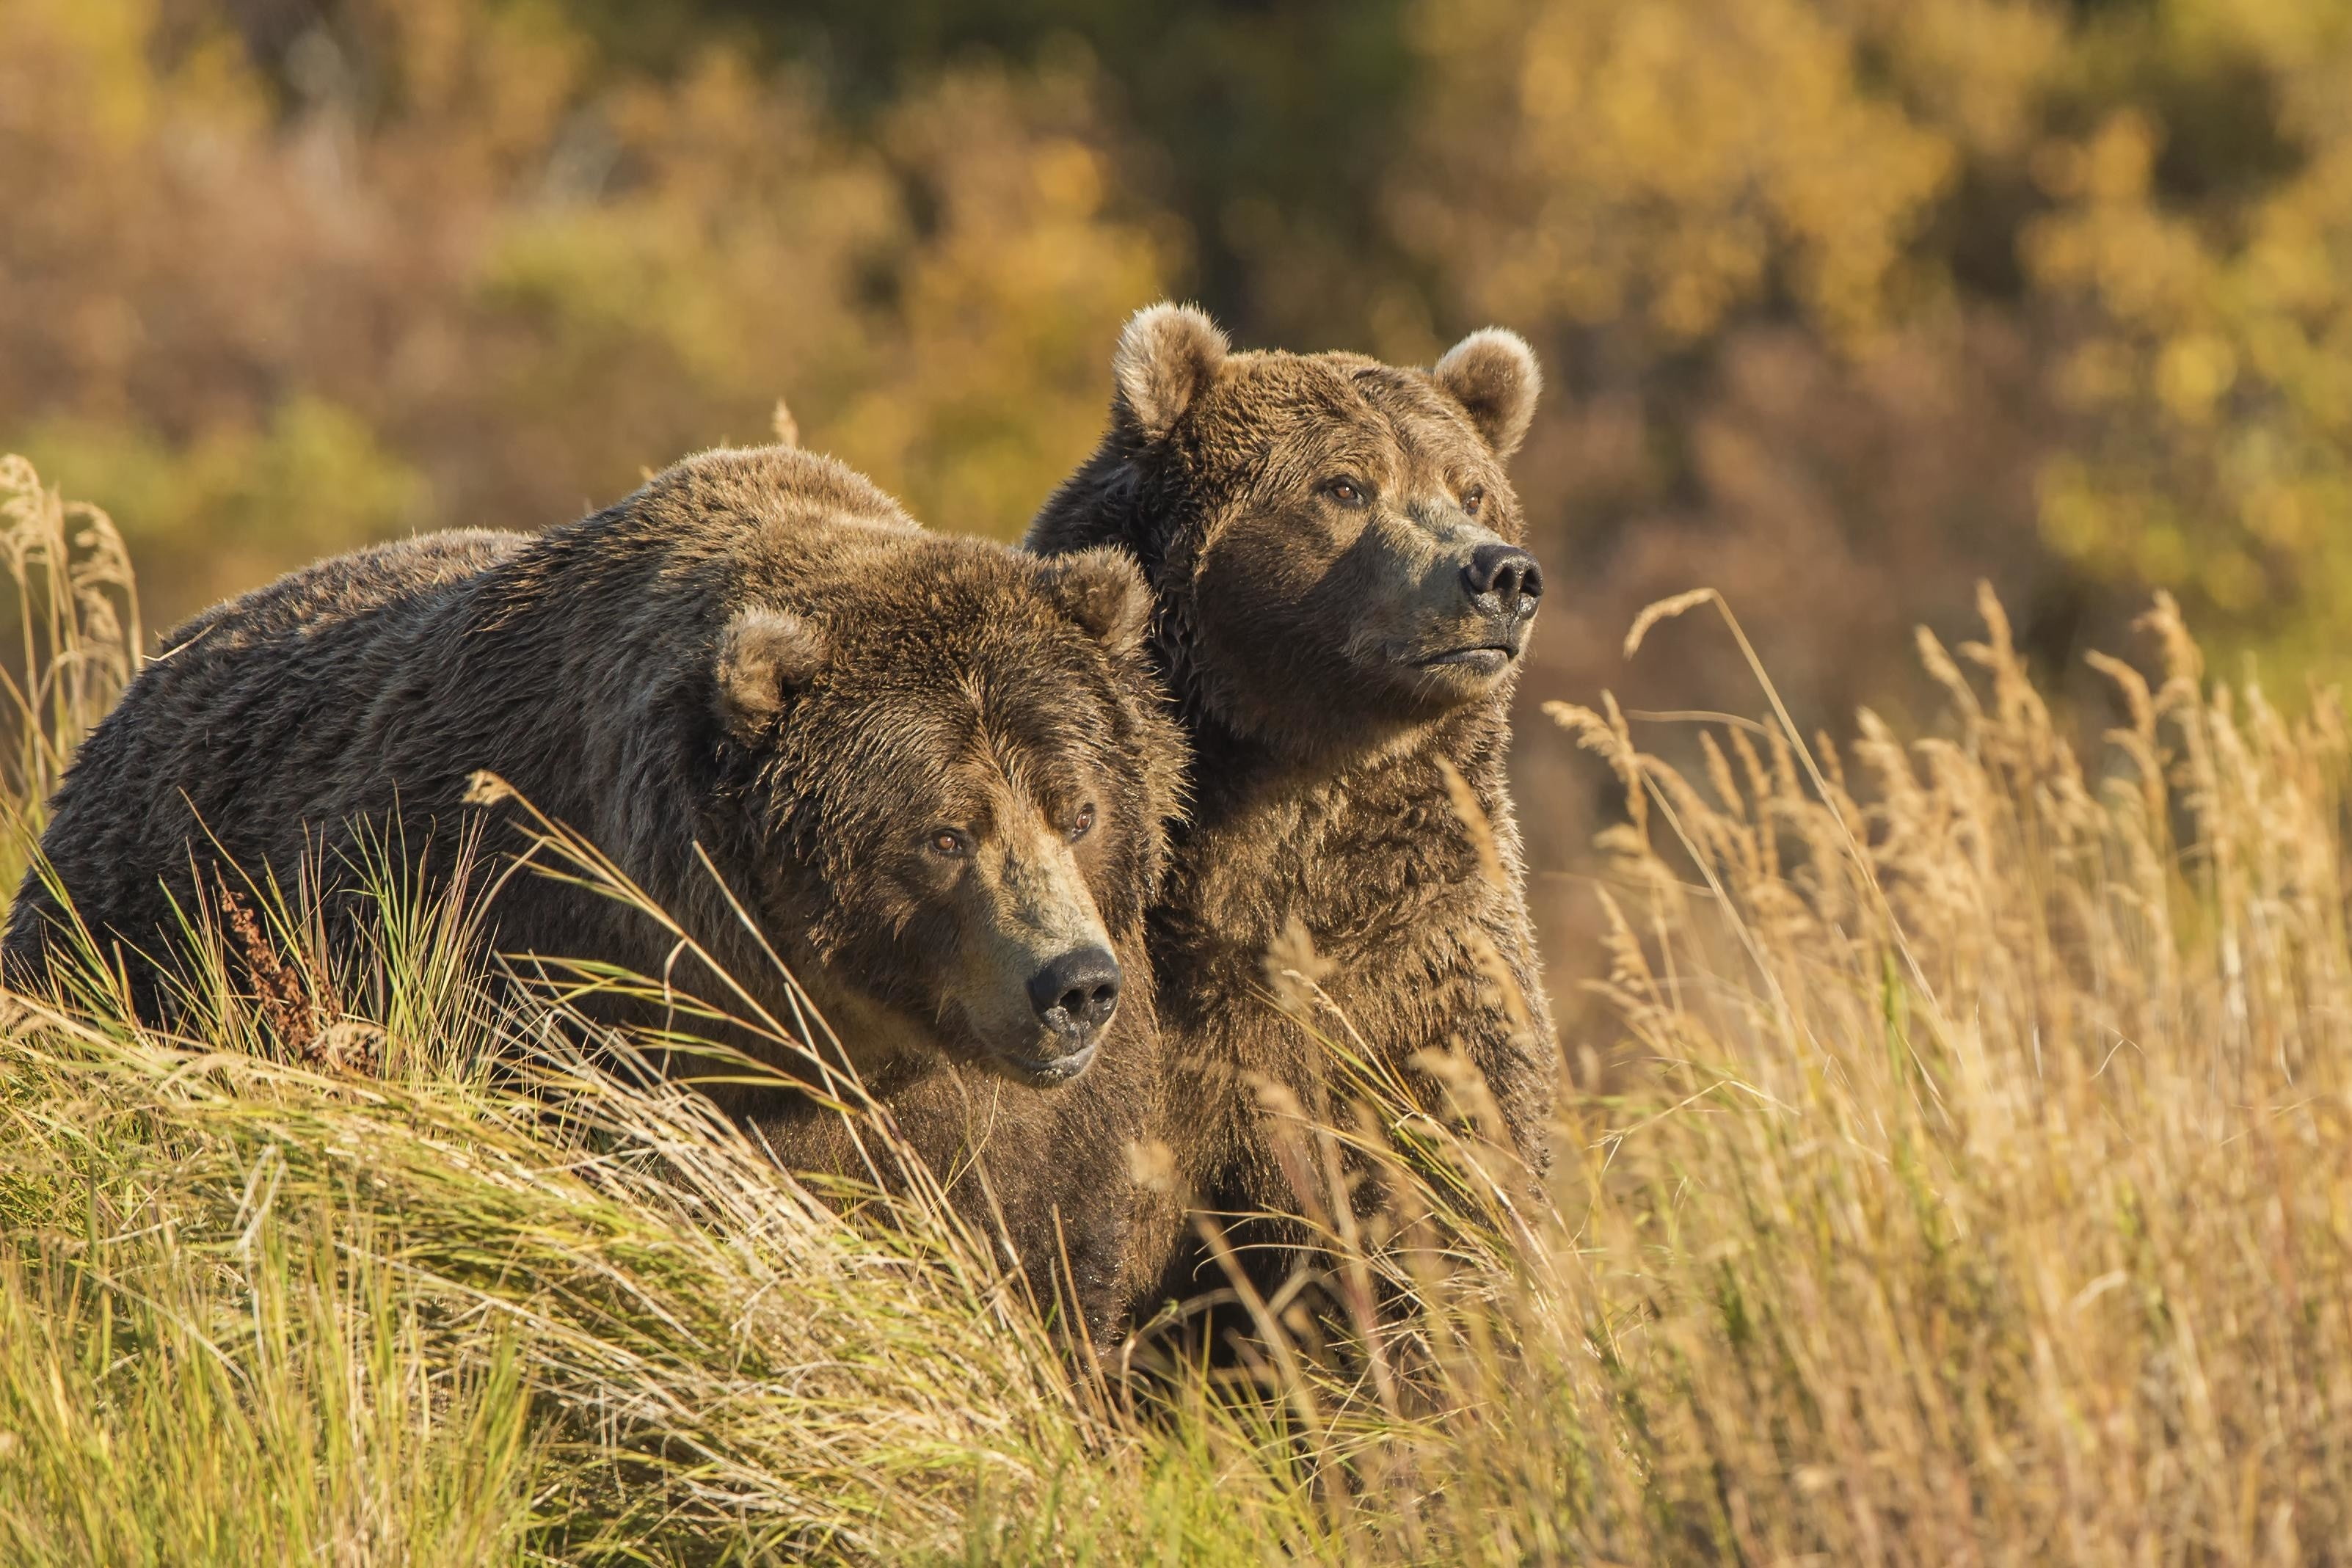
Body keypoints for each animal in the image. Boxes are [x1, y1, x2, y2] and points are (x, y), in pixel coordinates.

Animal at [6, 443, 1187, 1339]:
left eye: (1078, 809)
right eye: (944, 832)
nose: (1071, 985)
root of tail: (151, 669)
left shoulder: (1047, 1125)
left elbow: (1050, 1259)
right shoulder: (549, 990)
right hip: (130, 950)